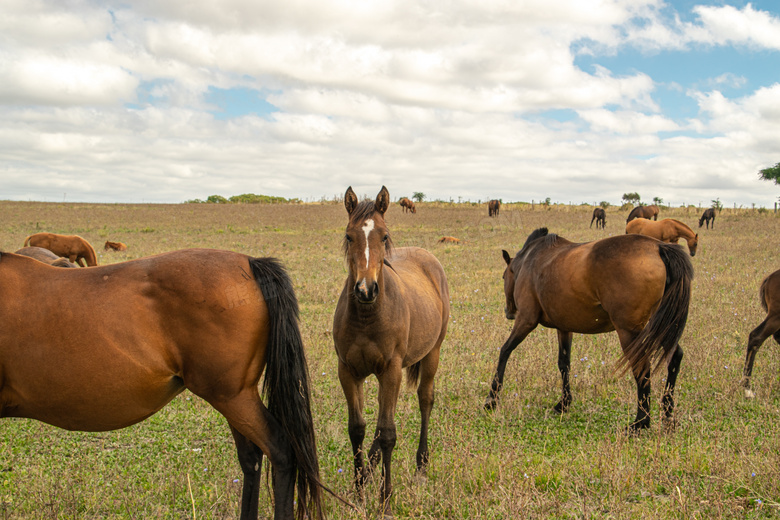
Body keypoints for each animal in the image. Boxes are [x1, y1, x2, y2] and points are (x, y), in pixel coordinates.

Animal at [332, 186, 448, 516]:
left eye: (384, 236)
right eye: (349, 236)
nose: (365, 289)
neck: (367, 316)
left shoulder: (391, 370)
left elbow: (388, 434)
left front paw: (385, 501)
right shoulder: (348, 371)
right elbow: (357, 428)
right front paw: (359, 493)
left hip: (432, 354)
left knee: (425, 400)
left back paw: (421, 467)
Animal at [484, 230, 692, 432]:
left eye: (503, 277)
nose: (509, 312)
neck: (530, 259)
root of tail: (658, 247)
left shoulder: (526, 321)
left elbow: (505, 351)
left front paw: (491, 399)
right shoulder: (564, 328)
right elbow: (564, 364)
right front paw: (564, 403)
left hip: (630, 332)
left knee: (642, 368)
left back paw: (640, 422)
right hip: (662, 325)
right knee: (675, 357)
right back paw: (667, 414)